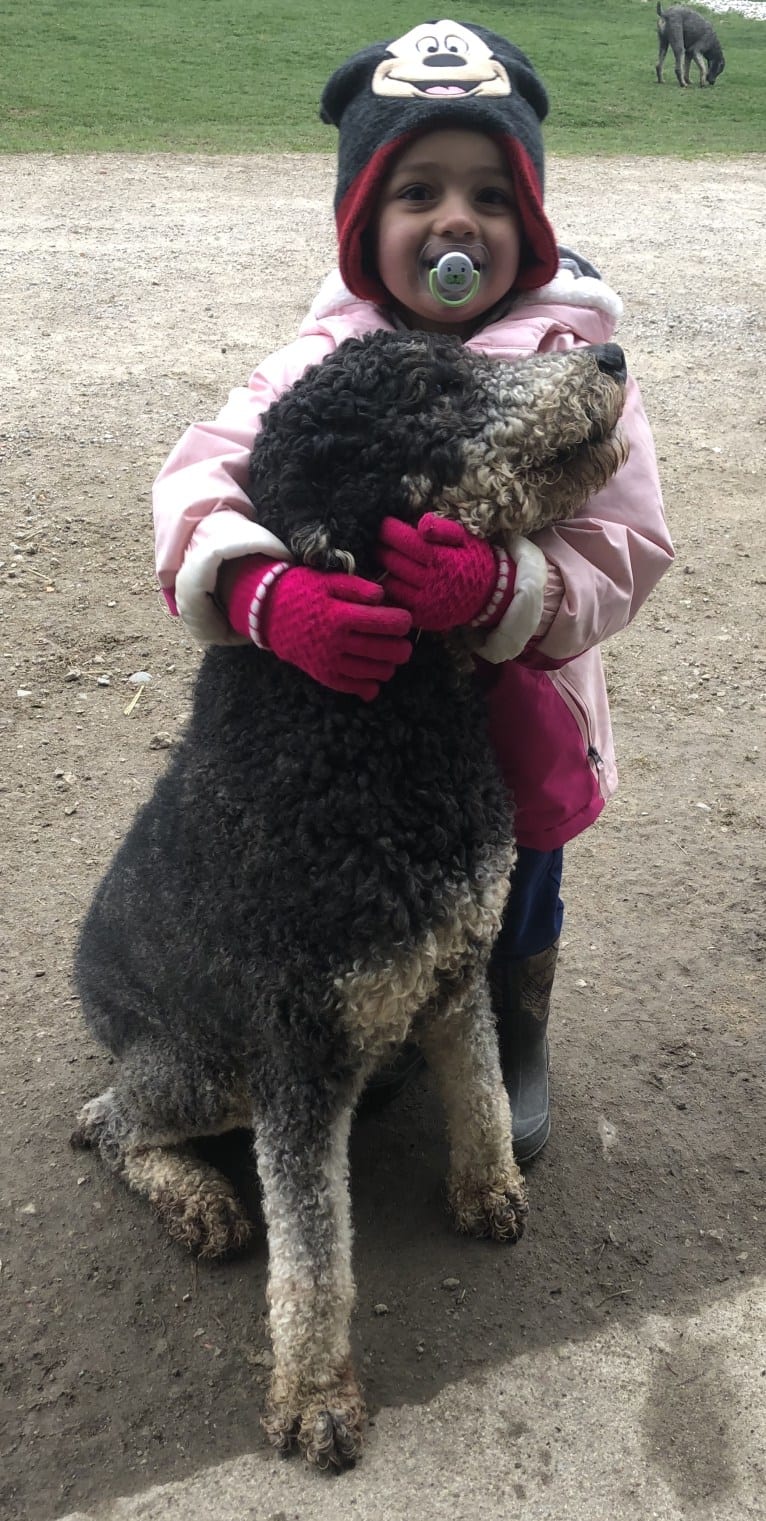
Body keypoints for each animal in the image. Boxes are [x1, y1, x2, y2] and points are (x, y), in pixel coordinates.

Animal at [73, 333, 629, 1472]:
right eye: (435, 390)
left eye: (464, 357)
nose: (607, 351)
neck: (366, 727)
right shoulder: (296, 1053)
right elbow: (314, 1252)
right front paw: (318, 1398)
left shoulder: (455, 962)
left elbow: (480, 1089)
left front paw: (487, 1187)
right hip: (211, 1065)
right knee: (105, 1119)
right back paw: (199, 1200)